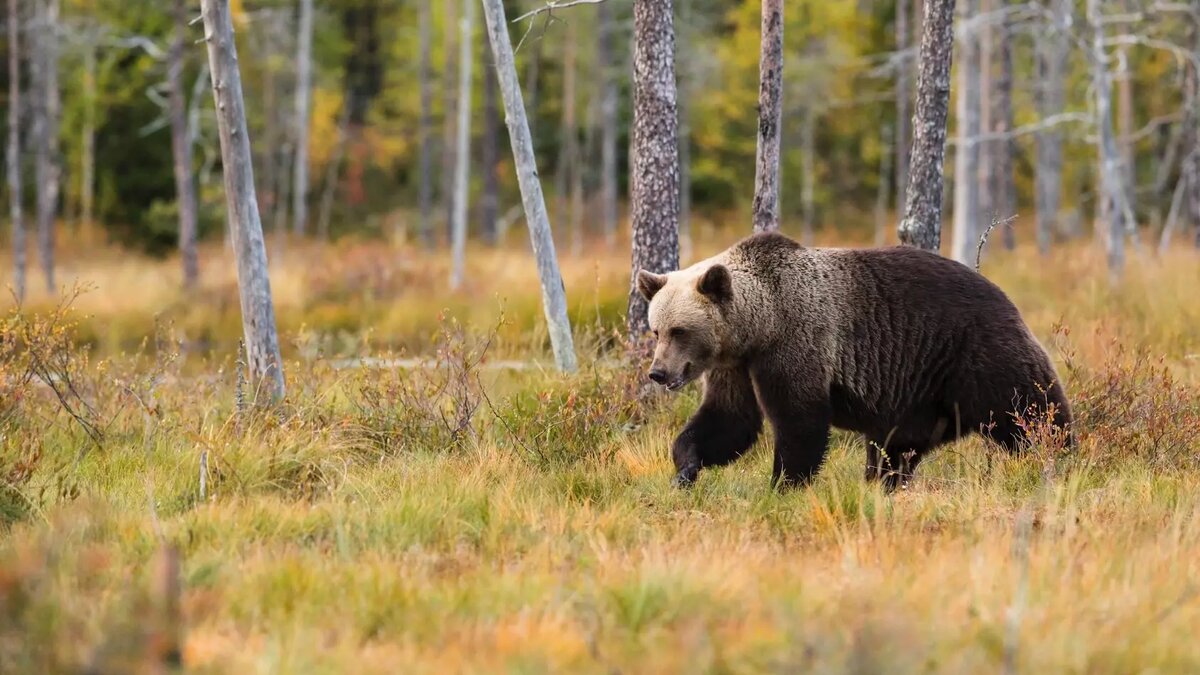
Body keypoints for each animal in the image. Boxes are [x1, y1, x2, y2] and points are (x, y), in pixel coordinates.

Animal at [633, 230, 1075, 487]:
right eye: (656, 329)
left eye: (680, 330)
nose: (658, 372)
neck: (759, 325)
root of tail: (1004, 294)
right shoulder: (736, 366)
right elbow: (728, 420)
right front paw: (685, 468)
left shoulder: (797, 342)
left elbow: (800, 421)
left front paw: (783, 484)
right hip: (918, 394)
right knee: (897, 447)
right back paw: (884, 483)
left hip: (976, 353)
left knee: (1030, 410)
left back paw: (1060, 457)